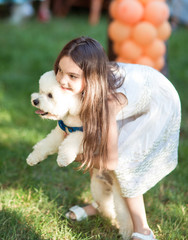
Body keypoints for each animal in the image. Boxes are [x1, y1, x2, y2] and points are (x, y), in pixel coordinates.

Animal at [26, 70, 132, 239]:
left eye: (50, 95)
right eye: (40, 91)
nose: (35, 100)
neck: (74, 115)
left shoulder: (87, 136)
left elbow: (71, 142)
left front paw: (63, 158)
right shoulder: (60, 132)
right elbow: (46, 144)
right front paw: (33, 158)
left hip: (119, 196)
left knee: (124, 215)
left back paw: (126, 231)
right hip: (98, 187)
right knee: (105, 206)